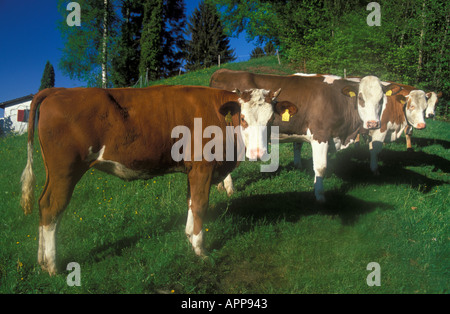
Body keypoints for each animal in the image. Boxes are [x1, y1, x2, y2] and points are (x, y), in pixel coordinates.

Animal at [21, 84, 298, 274]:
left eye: (271, 119)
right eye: (243, 119)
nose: (258, 153)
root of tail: (59, 91)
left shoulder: (192, 170)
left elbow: (190, 203)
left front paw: (189, 237)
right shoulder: (202, 167)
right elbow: (200, 205)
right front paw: (200, 250)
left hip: (54, 173)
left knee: (42, 205)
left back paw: (41, 260)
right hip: (65, 171)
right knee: (51, 208)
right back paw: (53, 266)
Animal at [210, 69, 398, 201]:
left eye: (381, 99)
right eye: (360, 98)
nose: (373, 124)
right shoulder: (320, 135)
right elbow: (321, 167)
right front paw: (320, 196)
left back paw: (220, 186)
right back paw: (229, 188)